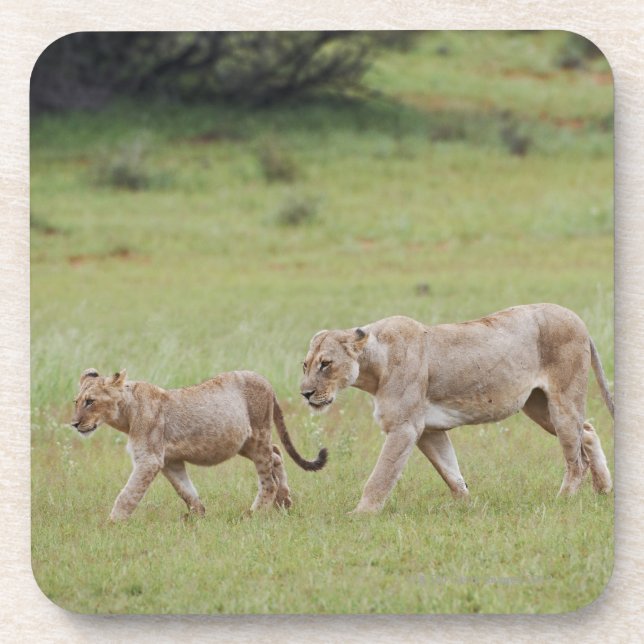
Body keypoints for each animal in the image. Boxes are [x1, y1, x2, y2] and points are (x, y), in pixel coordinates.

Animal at [71, 369, 327, 521]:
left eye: (90, 401)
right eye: (76, 402)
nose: (74, 424)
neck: (126, 414)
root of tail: (265, 380)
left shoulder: (149, 460)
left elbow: (128, 494)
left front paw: (111, 524)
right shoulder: (170, 461)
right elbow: (185, 490)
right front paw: (198, 516)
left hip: (258, 434)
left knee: (268, 479)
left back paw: (253, 514)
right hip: (245, 443)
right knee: (276, 454)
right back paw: (284, 502)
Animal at [300, 303, 613, 514]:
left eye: (326, 364)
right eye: (305, 365)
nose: (305, 393)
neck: (373, 367)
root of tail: (577, 319)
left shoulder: (404, 427)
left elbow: (381, 475)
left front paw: (360, 514)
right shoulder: (429, 430)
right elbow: (450, 472)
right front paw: (467, 507)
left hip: (562, 401)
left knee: (576, 460)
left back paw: (563, 500)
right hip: (538, 406)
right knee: (587, 430)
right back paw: (603, 490)